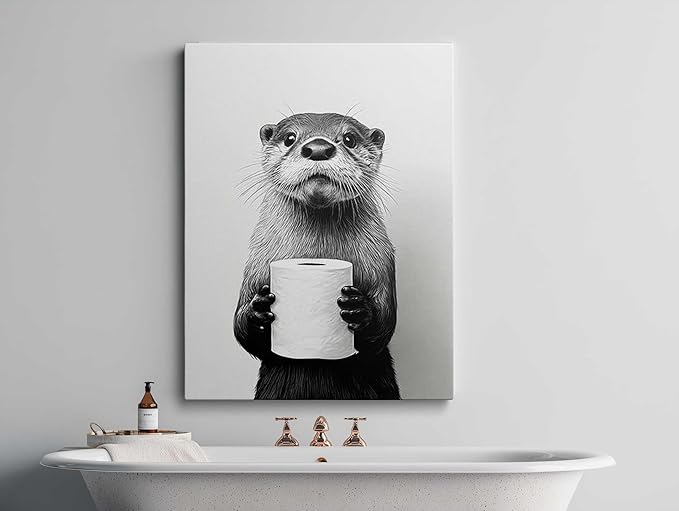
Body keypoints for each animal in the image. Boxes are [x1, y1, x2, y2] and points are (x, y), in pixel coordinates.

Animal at [233, 113, 399, 400]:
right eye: (290, 137)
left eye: (349, 138)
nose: (319, 148)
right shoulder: (256, 264)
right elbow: (242, 331)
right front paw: (258, 308)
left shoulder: (382, 262)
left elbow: (383, 326)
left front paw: (358, 308)